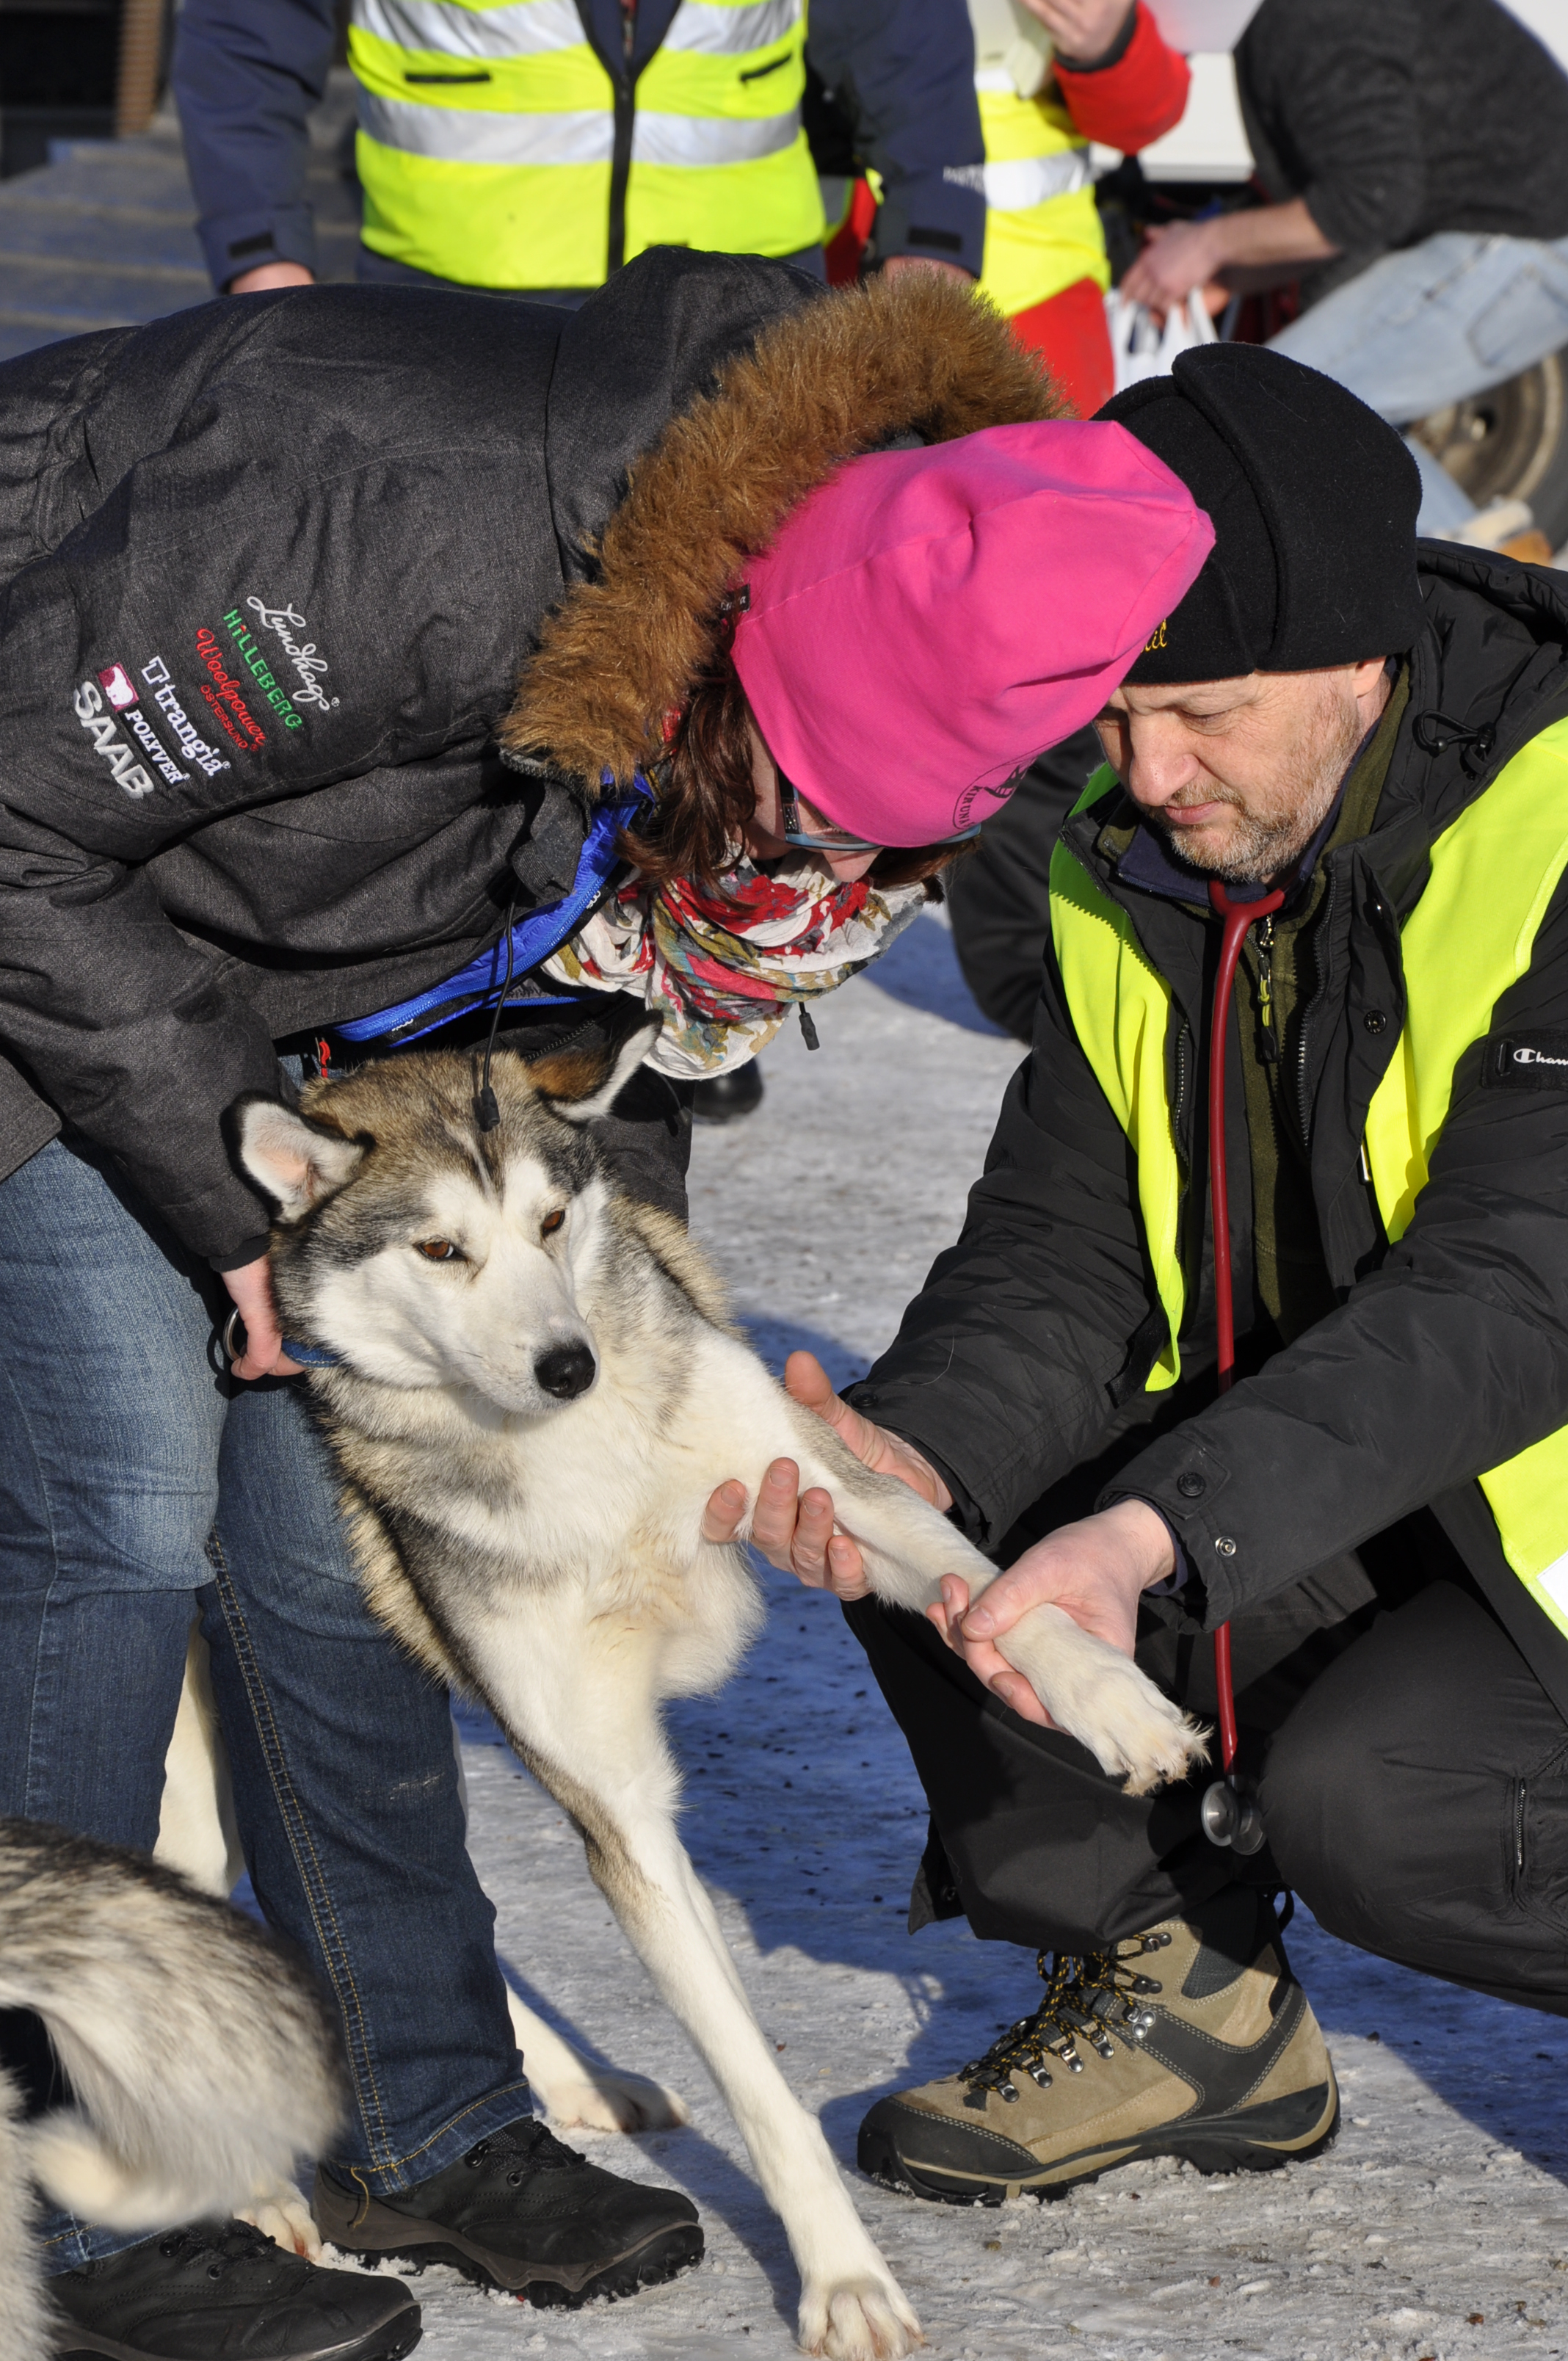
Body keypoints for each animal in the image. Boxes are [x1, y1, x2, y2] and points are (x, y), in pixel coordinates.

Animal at [230, 1026, 1205, 2361]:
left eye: (549, 1222)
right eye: (439, 1250)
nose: (570, 1365)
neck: (576, 1457)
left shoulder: (835, 1488)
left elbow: (1004, 1596)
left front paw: (1115, 1701)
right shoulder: (617, 1802)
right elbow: (759, 2087)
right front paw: (844, 2283)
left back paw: (573, 2082)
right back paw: (254, 2207)